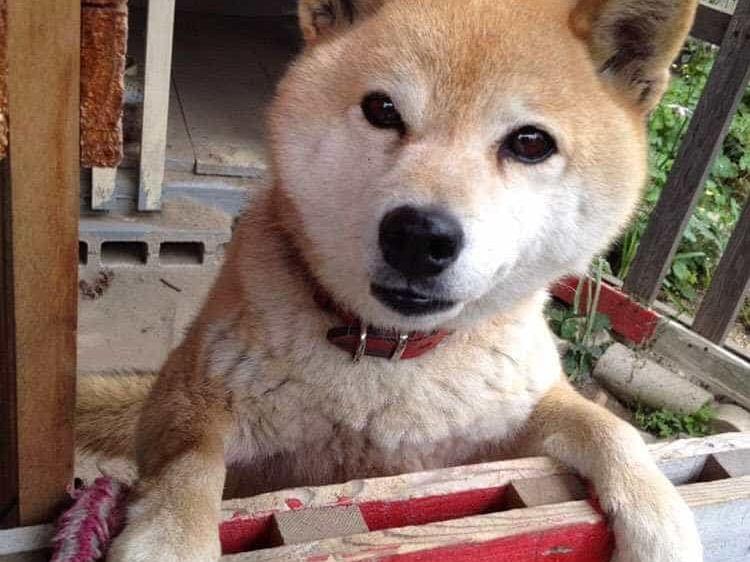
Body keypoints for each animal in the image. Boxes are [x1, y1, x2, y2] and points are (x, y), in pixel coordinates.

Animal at [78, 0, 703, 560]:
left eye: (530, 143)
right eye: (383, 109)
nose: (419, 236)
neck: (392, 354)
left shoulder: (506, 425)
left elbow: (607, 427)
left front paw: (662, 520)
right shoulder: (187, 399)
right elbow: (188, 461)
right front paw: (169, 541)